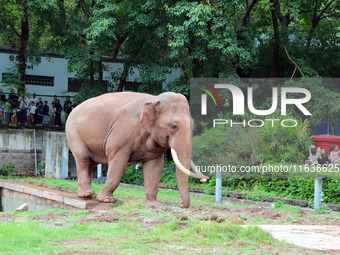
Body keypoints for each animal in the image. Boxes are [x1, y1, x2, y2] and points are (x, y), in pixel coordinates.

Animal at [63, 91, 207, 207]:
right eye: (173, 126)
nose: (181, 204)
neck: (154, 99)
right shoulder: (121, 135)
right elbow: (117, 162)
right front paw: (107, 201)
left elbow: (155, 167)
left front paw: (153, 204)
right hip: (73, 133)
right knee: (83, 158)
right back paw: (86, 195)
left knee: (91, 163)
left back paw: (87, 196)